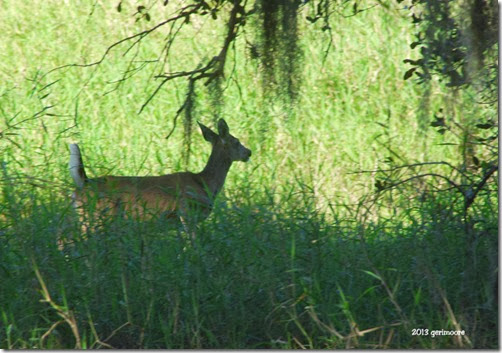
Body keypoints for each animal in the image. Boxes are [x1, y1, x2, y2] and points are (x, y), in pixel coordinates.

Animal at [67, 118, 251, 236]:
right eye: (236, 142)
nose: (249, 152)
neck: (204, 183)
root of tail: (83, 184)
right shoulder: (187, 212)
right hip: (96, 217)